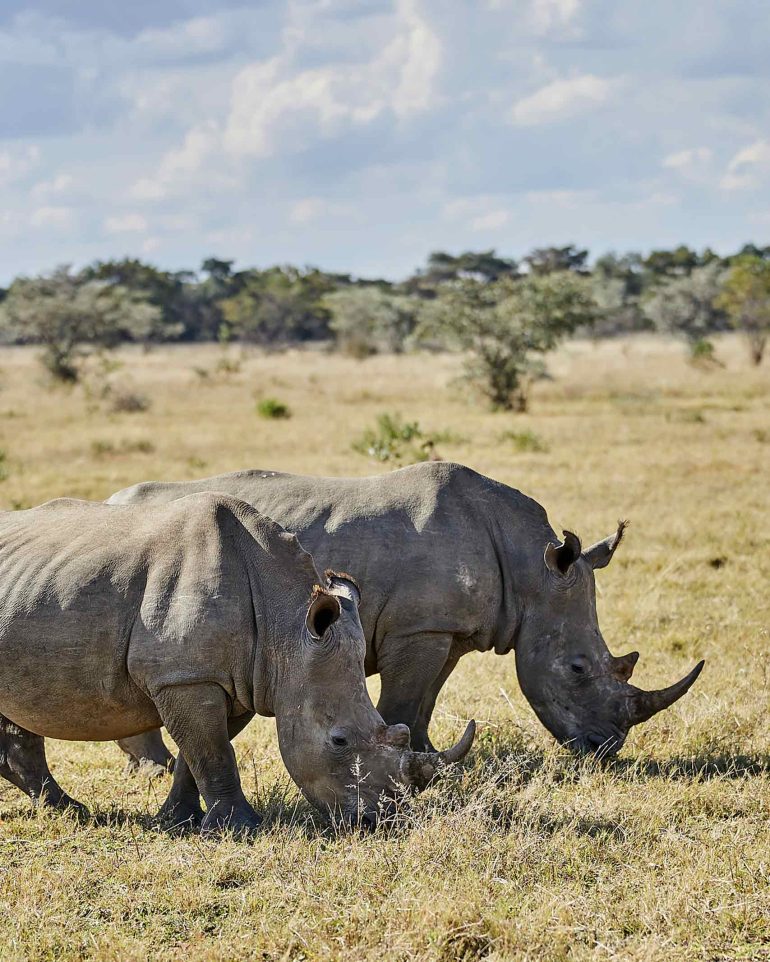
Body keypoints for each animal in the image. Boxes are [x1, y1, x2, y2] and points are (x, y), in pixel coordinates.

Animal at [0, 493, 474, 834]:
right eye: (339, 741)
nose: (381, 820)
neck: (286, 625)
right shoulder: (185, 678)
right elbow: (213, 753)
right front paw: (239, 828)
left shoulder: (242, 679)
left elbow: (199, 754)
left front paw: (178, 821)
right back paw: (72, 810)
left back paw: (67, 811)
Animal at [109, 462, 703, 774]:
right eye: (578, 669)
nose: (608, 750)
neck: (530, 568)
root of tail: (112, 500)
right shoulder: (418, 628)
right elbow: (404, 697)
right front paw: (407, 762)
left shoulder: (447, 630)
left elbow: (426, 699)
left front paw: (429, 754)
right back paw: (156, 769)